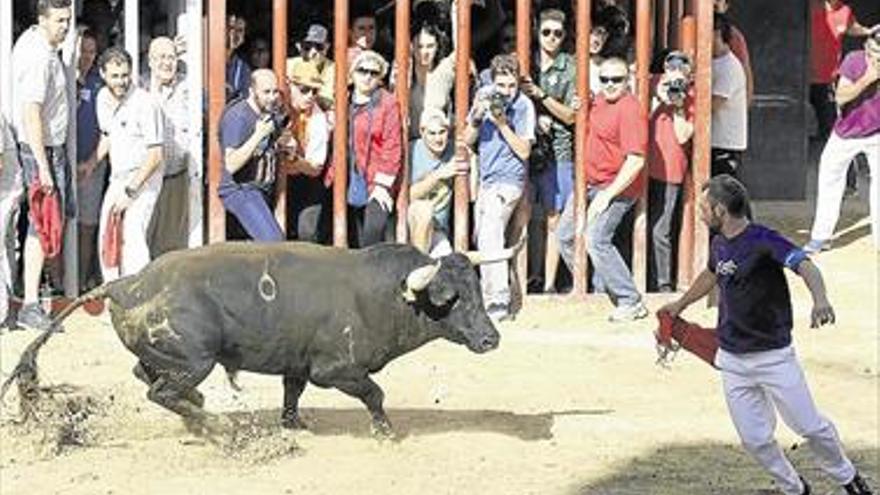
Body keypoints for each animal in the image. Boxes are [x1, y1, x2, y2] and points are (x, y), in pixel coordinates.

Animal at [1, 242, 516, 436]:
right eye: (451, 298)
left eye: (477, 289)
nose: (491, 339)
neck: (384, 294)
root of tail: (126, 283)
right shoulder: (336, 370)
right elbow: (374, 392)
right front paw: (385, 430)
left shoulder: (298, 362)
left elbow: (292, 391)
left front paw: (293, 424)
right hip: (196, 359)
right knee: (160, 390)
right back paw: (215, 427)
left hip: (172, 357)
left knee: (147, 375)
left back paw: (199, 414)